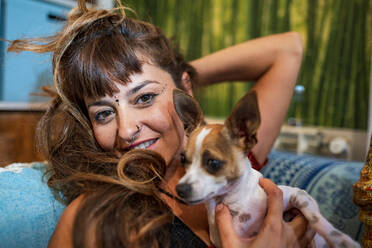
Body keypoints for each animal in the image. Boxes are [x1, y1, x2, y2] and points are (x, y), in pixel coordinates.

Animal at [174, 89, 360, 248]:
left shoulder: (298, 195)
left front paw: (340, 240)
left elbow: (314, 216)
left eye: (213, 163)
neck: (233, 202)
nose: (180, 189)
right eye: (183, 159)